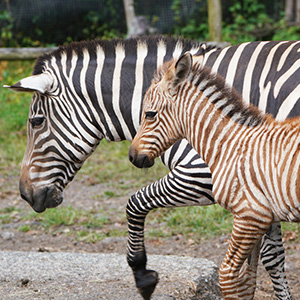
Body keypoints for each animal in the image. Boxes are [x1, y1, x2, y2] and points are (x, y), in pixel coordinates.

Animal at [4, 37, 298, 300]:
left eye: (37, 122)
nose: (25, 194)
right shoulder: (259, 189)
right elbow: (271, 258)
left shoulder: (201, 175)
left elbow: (135, 203)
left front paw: (141, 273)